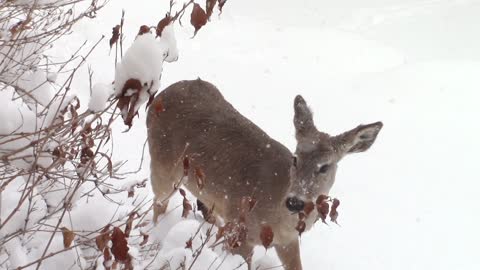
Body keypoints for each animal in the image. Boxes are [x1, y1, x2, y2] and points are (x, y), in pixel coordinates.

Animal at [146, 78, 382, 270]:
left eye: (325, 166)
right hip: (161, 166)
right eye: (295, 158)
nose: (295, 202)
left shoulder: (286, 241)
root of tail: (160, 95)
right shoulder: (240, 229)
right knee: (158, 205)